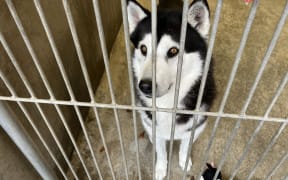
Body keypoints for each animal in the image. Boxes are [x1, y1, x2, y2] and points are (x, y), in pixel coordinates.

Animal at [127, 0, 215, 179]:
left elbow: (185, 145)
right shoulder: (153, 126)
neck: (167, 104)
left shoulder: (196, 125)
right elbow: (160, 150)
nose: (145, 85)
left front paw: (184, 161)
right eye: (144, 49)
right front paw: (161, 168)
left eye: (173, 51)